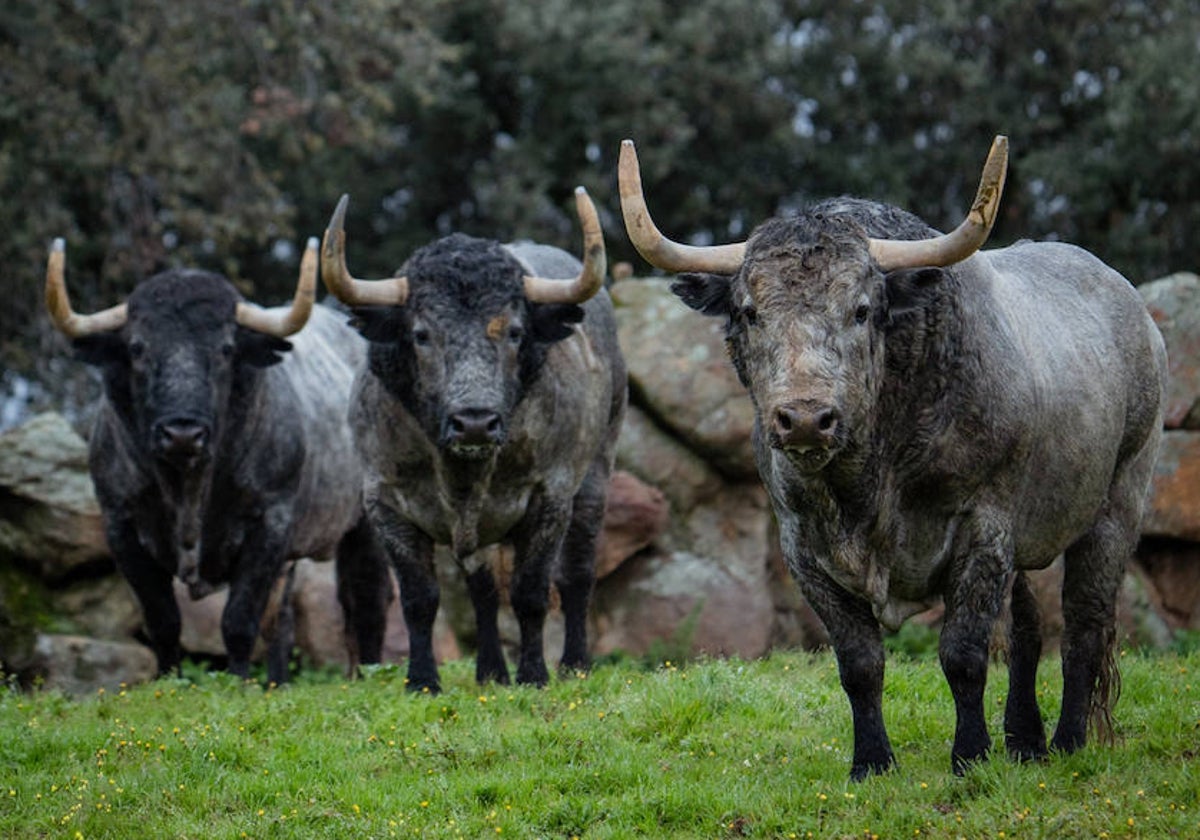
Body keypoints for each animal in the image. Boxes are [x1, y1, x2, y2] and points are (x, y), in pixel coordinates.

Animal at [43, 240, 384, 686]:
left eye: (225, 349)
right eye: (137, 348)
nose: (182, 433)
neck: (188, 489)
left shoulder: (269, 524)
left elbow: (238, 621)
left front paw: (238, 682)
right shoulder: (121, 526)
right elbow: (163, 620)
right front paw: (169, 680)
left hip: (366, 523)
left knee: (366, 600)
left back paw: (372, 672)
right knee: (283, 620)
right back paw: (278, 683)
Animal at [624, 134, 1166, 777]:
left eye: (861, 309)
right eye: (751, 311)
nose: (804, 417)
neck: (871, 481)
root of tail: (1134, 310)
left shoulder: (982, 529)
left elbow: (963, 654)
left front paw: (970, 758)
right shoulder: (803, 549)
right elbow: (860, 663)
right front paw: (872, 762)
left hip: (1116, 503)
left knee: (1083, 623)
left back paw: (1067, 742)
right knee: (1030, 628)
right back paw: (1026, 741)